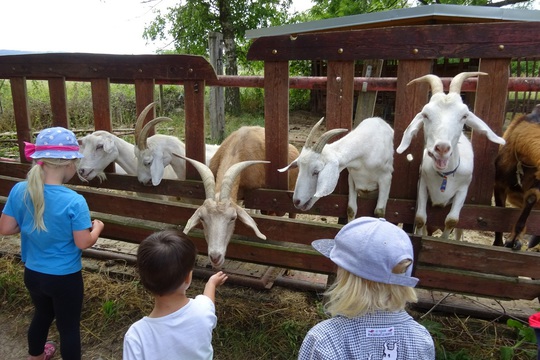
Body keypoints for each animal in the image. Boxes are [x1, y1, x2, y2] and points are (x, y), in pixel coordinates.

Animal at [396, 71, 506, 239]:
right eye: (425, 115)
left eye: (464, 116)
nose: (442, 148)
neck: (444, 175)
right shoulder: (422, 184)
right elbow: (420, 218)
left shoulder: (463, 189)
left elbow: (452, 221)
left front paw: (443, 240)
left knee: (459, 231)